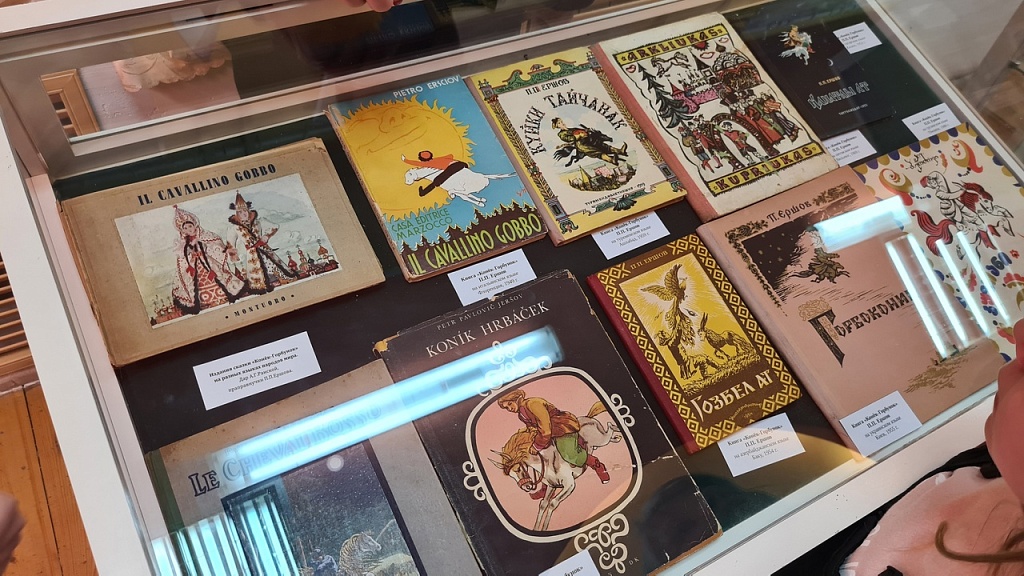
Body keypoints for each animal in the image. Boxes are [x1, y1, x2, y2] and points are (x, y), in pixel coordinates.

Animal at [489, 404, 622, 531]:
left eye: (518, 469)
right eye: (511, 476)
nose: (527, 487)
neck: (546, 460)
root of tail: (588, 418)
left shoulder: (569, 485)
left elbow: (553, 503)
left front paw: (544, 527)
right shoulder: (552, 486)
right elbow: (543, 504)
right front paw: (537, 529)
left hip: (601, 440)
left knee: (609, 428)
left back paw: (615, 429)